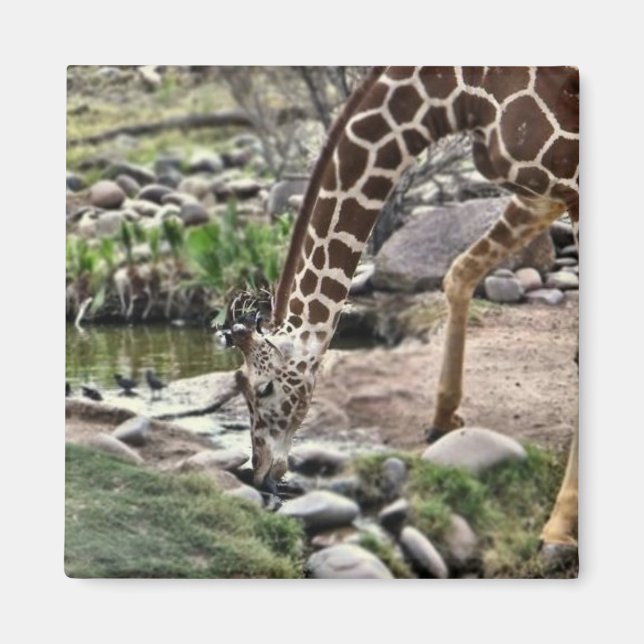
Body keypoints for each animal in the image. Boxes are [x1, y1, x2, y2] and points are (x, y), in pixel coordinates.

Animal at [219, 66, 579, 552]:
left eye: (263, 389)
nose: (259, 474)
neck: (463, 95)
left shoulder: (572, 181)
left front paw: (558, 532)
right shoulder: (543, 192)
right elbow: (459, 271)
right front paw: (443, 418)